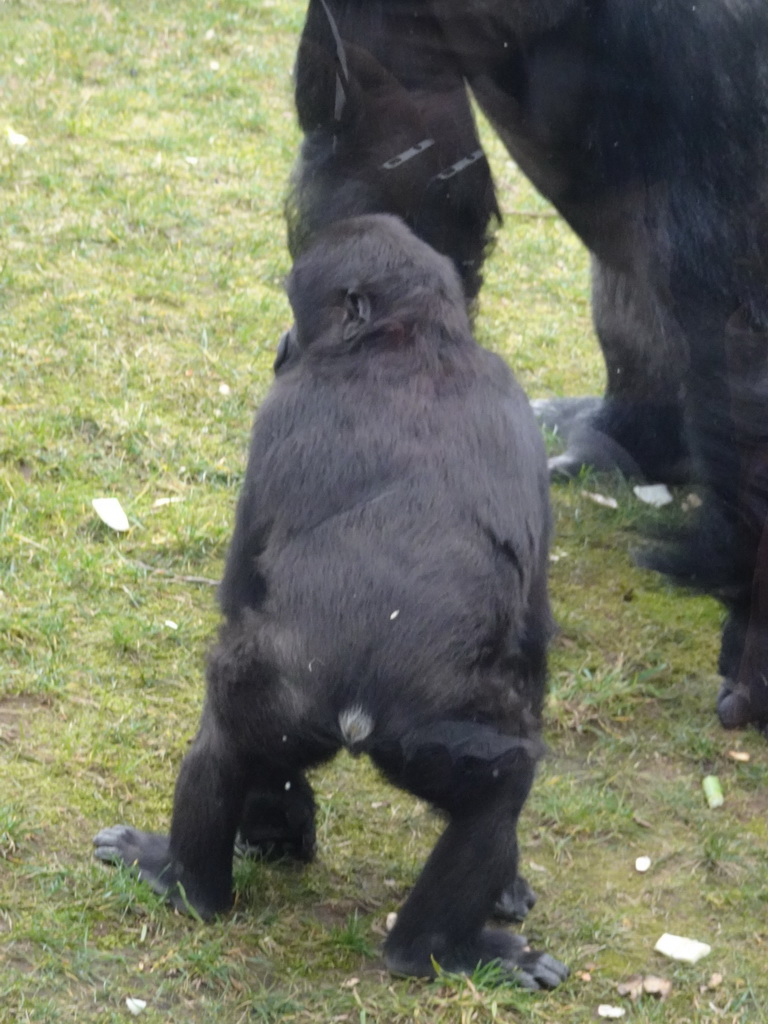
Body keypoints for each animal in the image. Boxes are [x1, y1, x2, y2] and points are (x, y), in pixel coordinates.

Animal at [93, 216, 569, 991]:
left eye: (295, 311)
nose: (282, 346)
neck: (407, 338)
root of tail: (357, 715)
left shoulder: (280, 412)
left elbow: (239, 587)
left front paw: (274, 819)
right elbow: (530, 633)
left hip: (298, 702)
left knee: (221, 741)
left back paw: (188, 883)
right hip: (430, 737)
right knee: (496, 790)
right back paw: (440, 946)